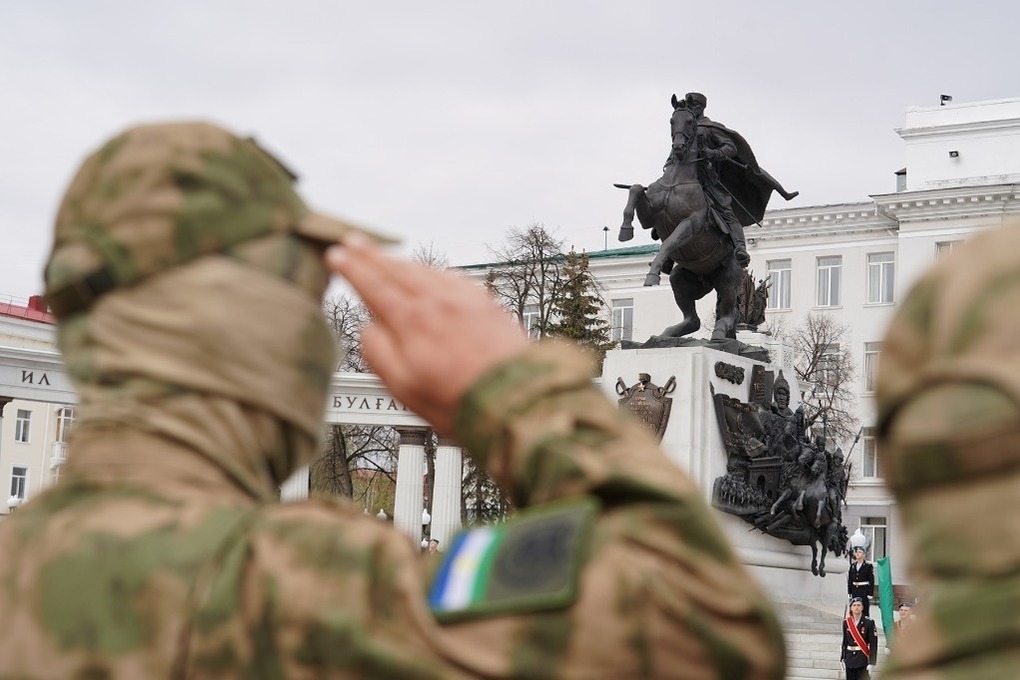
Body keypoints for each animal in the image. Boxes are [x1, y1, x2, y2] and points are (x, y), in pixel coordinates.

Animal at [612, 103, 742, 342]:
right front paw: (625, 231)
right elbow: (636, 188)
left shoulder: (691, 224)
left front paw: (652, 274)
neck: (676, 181)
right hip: (680, 278)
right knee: (694, 319)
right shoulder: (649, 217)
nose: (679, 147)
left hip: (729, 278)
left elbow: (669, 242)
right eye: (672, 120)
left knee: (728, 314)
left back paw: (719, 333)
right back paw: (666, 335)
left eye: (690, 122)